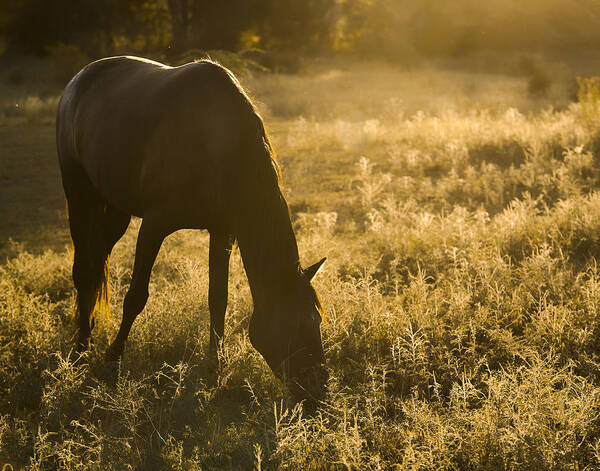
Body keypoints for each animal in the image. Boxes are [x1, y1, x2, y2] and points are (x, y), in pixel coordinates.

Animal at [55, 54, 328, 406]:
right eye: (297, 324)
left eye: (318, 320)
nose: (317, 392)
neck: (216, 145)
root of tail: (80, 78)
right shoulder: (154, 225)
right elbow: (136, 296)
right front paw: (111, 363)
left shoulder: (223, 230)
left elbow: (218, 298)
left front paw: (214, 371)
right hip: (79, 193)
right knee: (84, 271)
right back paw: (79, 348)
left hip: (115, 210)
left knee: (97, 259)